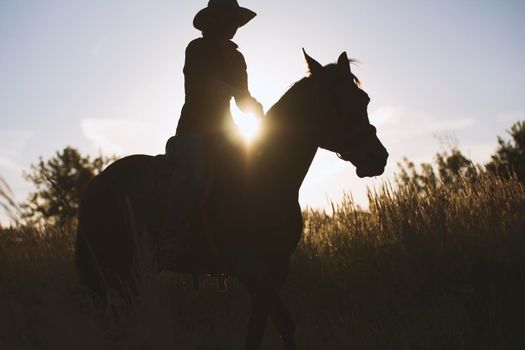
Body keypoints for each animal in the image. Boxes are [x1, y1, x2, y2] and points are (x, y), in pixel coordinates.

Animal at [77, 50, 388, 350]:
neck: (264, 174)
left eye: (364, 99)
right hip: (114, 271)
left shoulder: (276, 268)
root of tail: (96, 186)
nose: (377, 157)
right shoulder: (251, 270)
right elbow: (265, 329)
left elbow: (274, 327)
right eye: (334, 100)